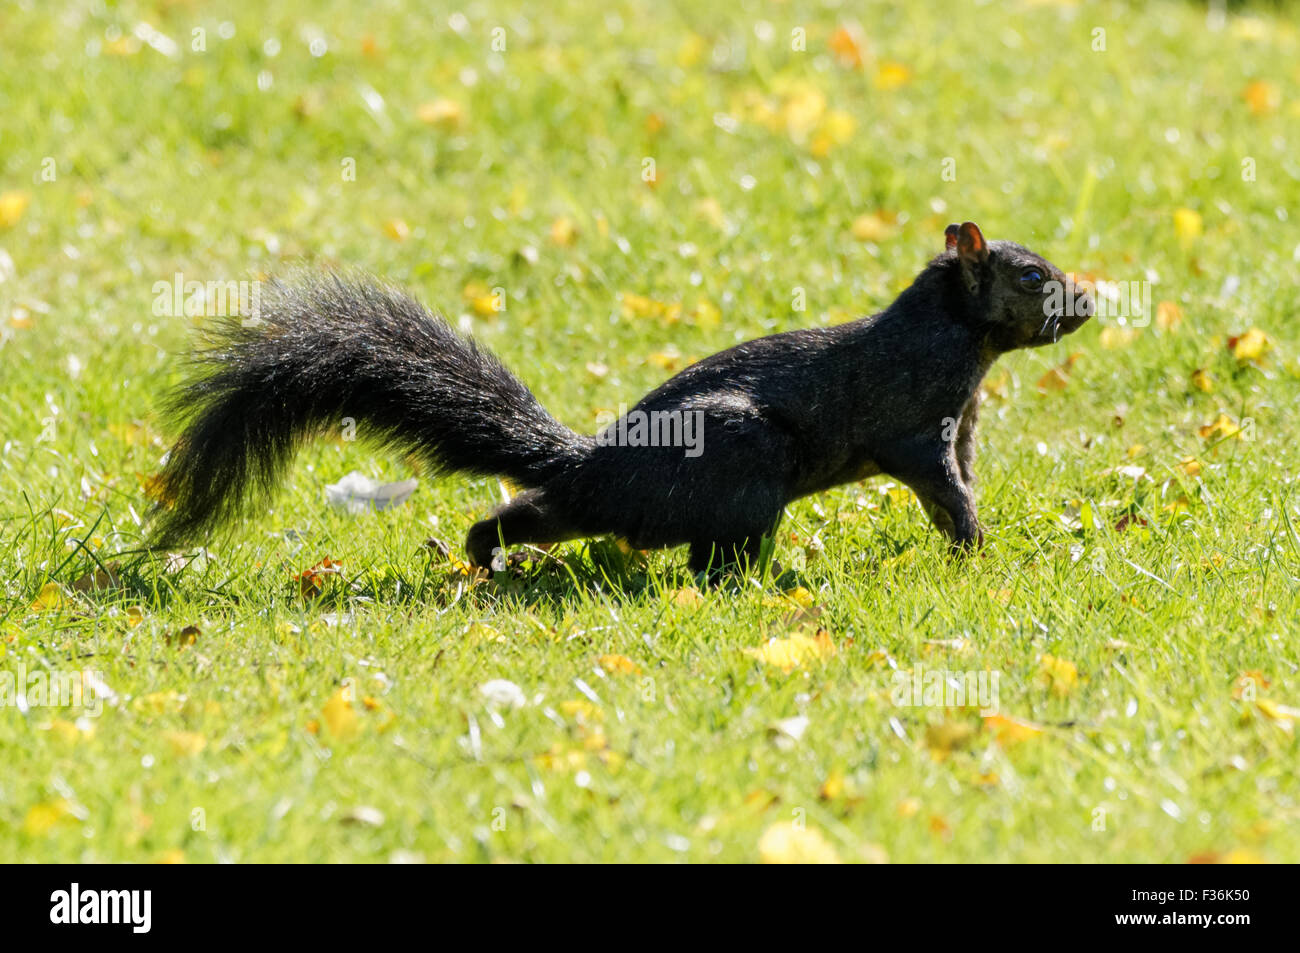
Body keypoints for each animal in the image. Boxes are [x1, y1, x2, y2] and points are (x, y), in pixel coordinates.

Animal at [149, 223, 1086, 572]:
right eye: (1031, 275)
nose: (1086, 302)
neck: (956, 335)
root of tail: (594, 462)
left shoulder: (959, 422)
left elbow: (960, 477)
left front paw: (974, 543)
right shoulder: (915, 421)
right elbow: (943, 486)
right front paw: (977, 551)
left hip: (596, 503)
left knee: (533, 512)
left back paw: (485, 556)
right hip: (741, 456)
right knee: (709, 548)